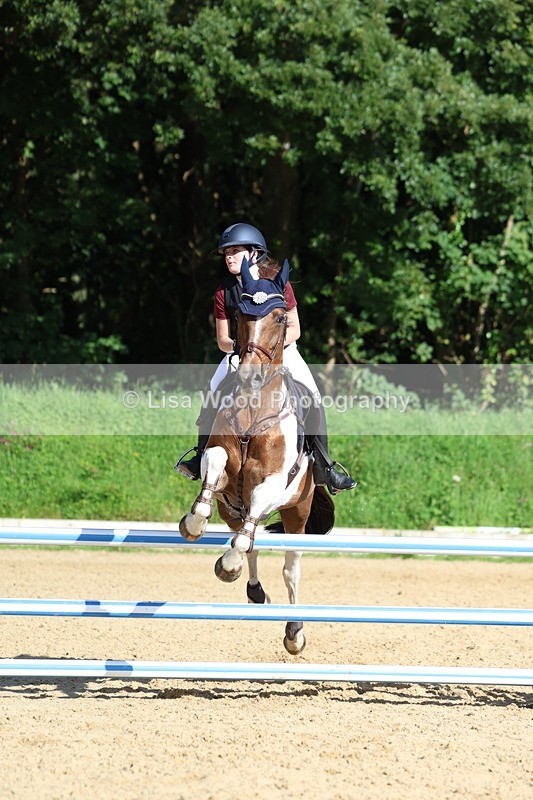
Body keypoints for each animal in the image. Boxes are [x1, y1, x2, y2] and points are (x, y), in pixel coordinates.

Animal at [178, 257, 334, 654]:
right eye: (240, 315)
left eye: (279, 317)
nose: (248, 375)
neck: (254, 404)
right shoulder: (222, 462)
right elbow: (214, 465)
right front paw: (193, 523)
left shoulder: (276, 481)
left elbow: (263, 496)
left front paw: (227, 561)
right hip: (232, 510)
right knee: (249, 541)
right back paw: (252, 589)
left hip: (298, 511)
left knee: (289, 567)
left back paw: (294, 632)